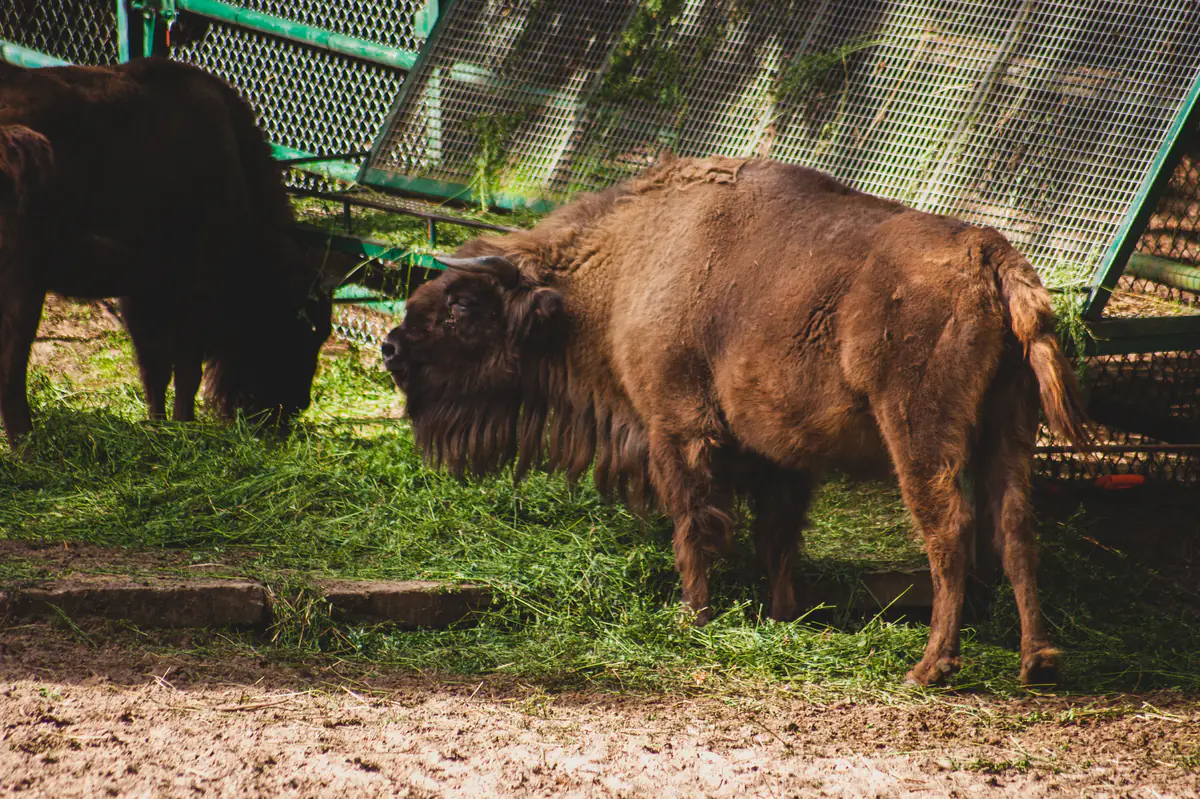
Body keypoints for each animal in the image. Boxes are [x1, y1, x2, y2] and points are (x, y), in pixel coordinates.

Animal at [0, 58, 338, 450]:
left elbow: (154, 369)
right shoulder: (190, 294)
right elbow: (185, 370)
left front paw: (158, 424)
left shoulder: (141, 292)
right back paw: (26, 445)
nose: (297, 406)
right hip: (24, 283)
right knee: (12, 364)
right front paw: (183, 424)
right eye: (304, 330)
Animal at [381, 155, 1090, 686]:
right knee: (1014, 526)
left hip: (918, 430)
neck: (625, 266)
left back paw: (931, 667)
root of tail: (991, 256)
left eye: (462, 308)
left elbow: (695, 524)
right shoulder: (783, 459)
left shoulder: (677, 429)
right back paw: (1038, 662)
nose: (390, 349)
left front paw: (692, 616)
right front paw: (782, 616)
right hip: (1008, 430)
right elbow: (775, 539)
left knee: (951, 531)